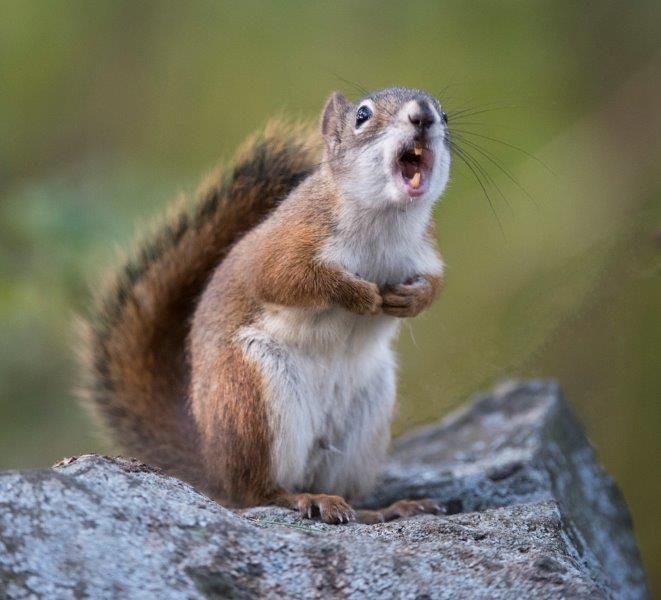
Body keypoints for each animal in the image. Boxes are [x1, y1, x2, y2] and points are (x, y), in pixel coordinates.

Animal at [80, 87, 451, 524]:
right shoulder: (287, 242)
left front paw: (411, 298)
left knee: (347, 495)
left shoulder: (426, 249)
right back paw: (305, 499)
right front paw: (358, 294)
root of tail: (213, 466)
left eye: (445, 114)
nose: (423, 116)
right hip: (252, 399)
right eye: (362, 115)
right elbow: (284, 278)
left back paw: (386, 508)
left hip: (365, 420)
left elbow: (436, 284)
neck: (386, 218)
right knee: (256, 491)